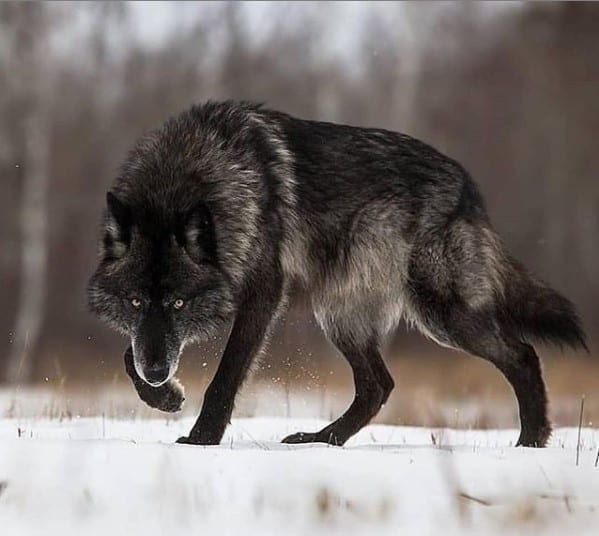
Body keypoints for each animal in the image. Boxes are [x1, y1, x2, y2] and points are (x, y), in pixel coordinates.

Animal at [86, 100, 588, 448]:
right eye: (135, 301)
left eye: (178, 302)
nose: (158, 373)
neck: (186, 177)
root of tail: (469, 187)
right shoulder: (152, 334)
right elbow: (129, 355)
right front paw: (164, 397)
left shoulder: (264, 294)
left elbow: (225, 375)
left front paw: (201, 439)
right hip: (341, 315)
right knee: (377, 385)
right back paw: (321, 440)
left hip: (441, 315)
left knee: (522, 354)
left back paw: (530, 442)